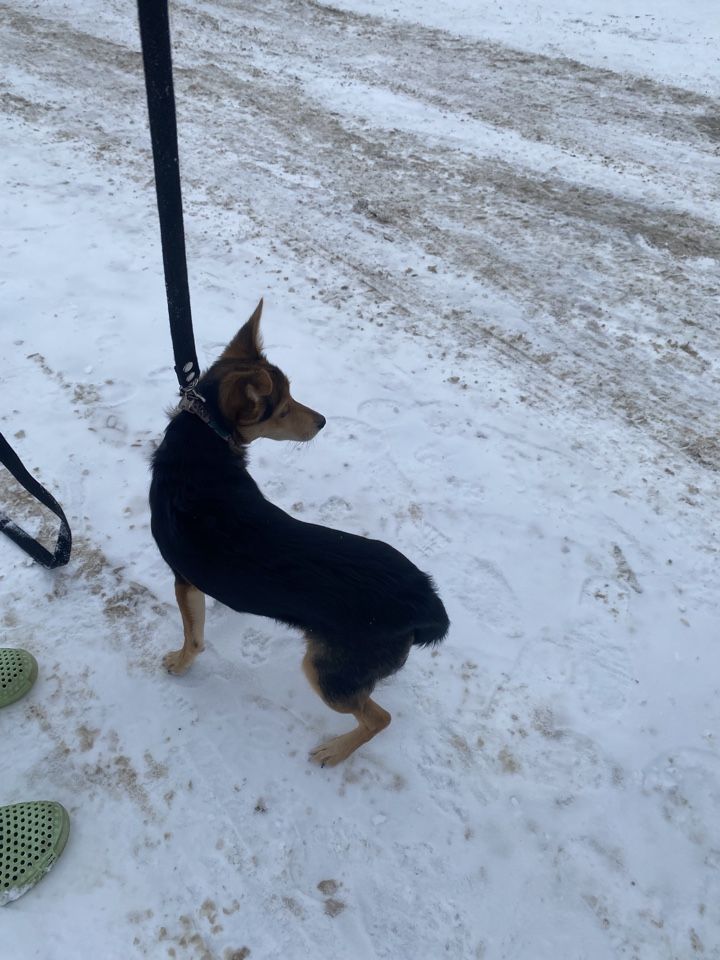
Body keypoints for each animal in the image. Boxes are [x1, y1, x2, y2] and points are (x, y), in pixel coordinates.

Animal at [149, 300, 449, 765]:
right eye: (284, 407)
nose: (324, 421)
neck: (206, 440)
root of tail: (425, 602)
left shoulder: (183, 579)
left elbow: (193, 639)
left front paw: (179, 665)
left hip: (325, 673)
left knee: (378, 718)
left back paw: (335, 752)